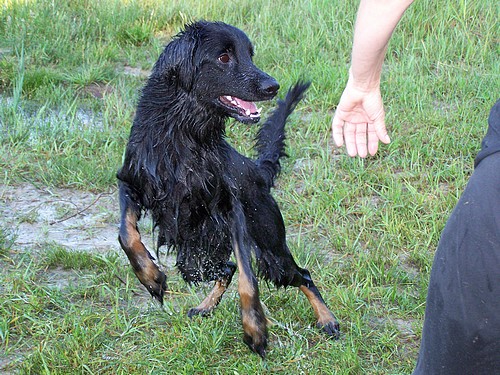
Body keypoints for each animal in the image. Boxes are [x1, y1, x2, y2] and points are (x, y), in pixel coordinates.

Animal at [116, 20, 340, 358]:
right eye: (224, 58)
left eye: (249, 55)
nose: (272, 86)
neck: (185, 135)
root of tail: (258, 172)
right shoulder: (131, 182)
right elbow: (127, 234)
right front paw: (151, 278)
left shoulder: (231, 210)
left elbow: (248, 277)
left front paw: (255, 329)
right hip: (194, 257)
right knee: (226, 268)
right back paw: (205, 306)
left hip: (271, 247)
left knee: (301, 275)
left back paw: (327, 319)